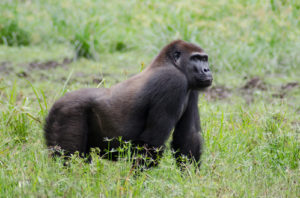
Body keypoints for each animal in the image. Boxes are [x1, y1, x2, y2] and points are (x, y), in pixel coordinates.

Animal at [44, 39, 213, 169]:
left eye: (204, 59)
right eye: (195, 58)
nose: (207, 70)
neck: (171, 63)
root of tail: (54, 106)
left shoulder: (191, 89)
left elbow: (188, 137)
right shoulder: (173, 81)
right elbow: (152, 143)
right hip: (67, 113)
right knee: (70, 160)